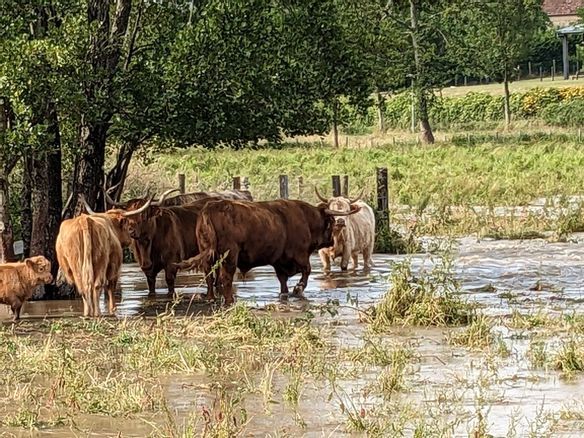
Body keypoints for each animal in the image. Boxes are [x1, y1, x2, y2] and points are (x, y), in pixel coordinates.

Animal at [172, 198, 360, 304]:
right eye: (331, 221)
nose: (331, 241)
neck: (306, 219)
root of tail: (211, 207)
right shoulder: (300, 255)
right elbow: (307, 271)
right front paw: (298, 288)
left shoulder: (279, 261)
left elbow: (283, 281)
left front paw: (286, 293)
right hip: (229, 255)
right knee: (225, 278)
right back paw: (229, 300)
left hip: (208, 255)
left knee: (210, 277)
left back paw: (211, 297)